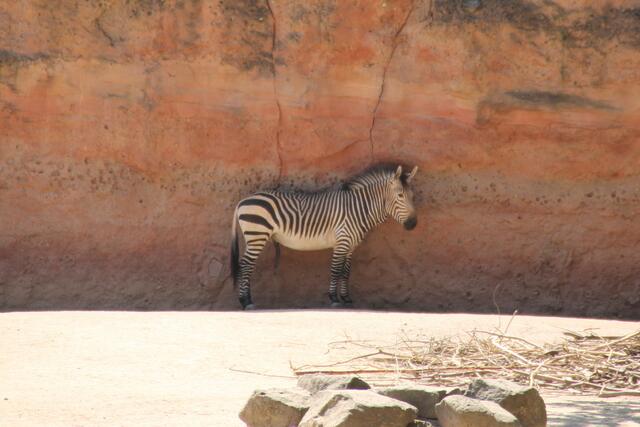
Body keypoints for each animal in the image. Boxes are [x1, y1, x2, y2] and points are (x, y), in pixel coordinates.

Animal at [230, 164, 419, 310]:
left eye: (413, 196)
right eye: (400, 195)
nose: (413, 224)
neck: (358, 209)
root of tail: (243, 201)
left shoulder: (351, 245)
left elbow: (346, 271)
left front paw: (346, 298)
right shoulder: (342, 241)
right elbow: (336, 269)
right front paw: (334, 299)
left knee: (246, 265)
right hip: (257, 235)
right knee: (245, 265)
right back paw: (246, 301)